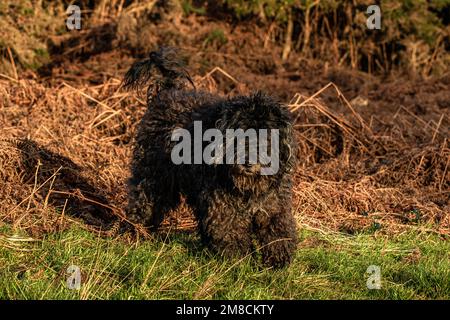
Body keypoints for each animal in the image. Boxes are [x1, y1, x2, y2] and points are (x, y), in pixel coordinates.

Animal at [125, 47, 298, 268]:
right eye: (239, 132)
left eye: (266, 134)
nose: (248, 162)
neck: (250, 186)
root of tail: (166, 92)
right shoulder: (223, 206)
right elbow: (229, 232)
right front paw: (237, 262)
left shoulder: (274, 206)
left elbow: (278, 231)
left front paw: (279, 261)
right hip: (153, 174)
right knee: (144, 198)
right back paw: (135, 231)